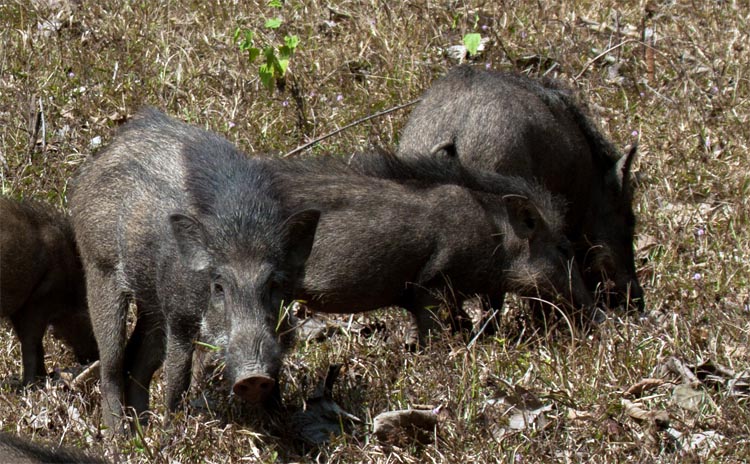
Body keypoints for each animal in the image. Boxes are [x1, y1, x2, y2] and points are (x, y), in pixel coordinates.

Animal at [0, 197, 98, 385]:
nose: (95, 357)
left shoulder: (23, 308)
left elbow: (33, 344)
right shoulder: (39, 301)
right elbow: (31, 343)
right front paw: (31, 385)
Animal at [69, 107, 319, 433]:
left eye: (274, 285)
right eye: (219, 286)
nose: (253, 377)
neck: (241, 226)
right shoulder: (180, 320)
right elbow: (176, 382)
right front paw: (172, 433)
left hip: (152, 304)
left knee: (137, 363)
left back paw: (142, 431)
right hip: (101, 271)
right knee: (111, 365)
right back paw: (119, 437)